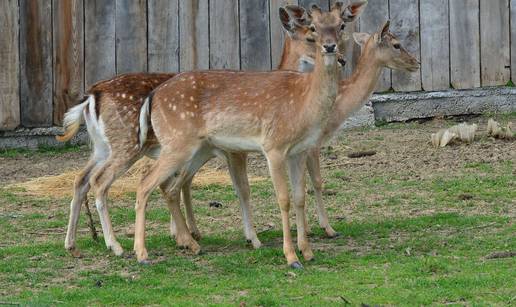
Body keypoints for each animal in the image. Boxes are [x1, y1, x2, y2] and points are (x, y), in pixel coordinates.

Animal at [133, 4, 352, 270]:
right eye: (313, 29)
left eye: (341, 25)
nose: (331, 49)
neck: (303, 102)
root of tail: (153, 97)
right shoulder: (273, 146)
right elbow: (282, 198)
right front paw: (291, 257)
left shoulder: (299, 151)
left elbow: (300, 197)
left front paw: (307, 252)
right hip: (177, 143)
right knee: (145, 183)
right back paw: (142, 253)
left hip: (196, 149)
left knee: (170, 187)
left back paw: (191, 244)